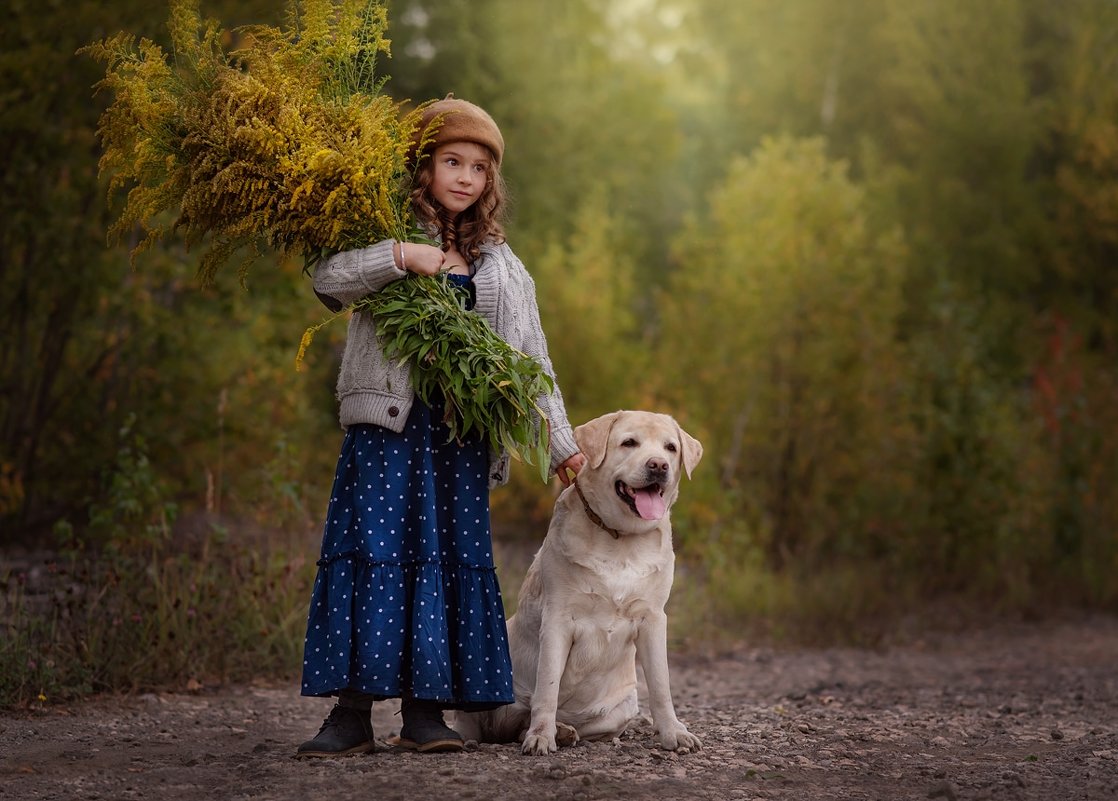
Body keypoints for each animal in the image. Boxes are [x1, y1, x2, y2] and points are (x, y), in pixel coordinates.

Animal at [451, 409, 697, 756]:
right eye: (629, 443)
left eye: (670, 448)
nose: (658, 465)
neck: (620, 538)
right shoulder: (558, 618)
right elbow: (547, 688)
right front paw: (541, 736)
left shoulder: (652, 619)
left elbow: (661, 686)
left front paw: (674, 733)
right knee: (486, 720)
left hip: (623, 708)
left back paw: (565, 730)